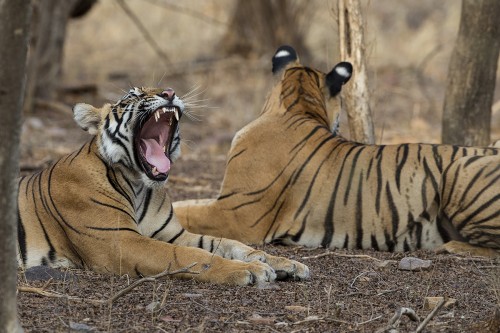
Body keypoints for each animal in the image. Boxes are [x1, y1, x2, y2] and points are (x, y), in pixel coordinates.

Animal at [16, 84, 308, 284]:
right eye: (133, 95)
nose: (169, 92)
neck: (138, 184)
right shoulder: (120, 241)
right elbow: (189, 256)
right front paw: (250, 270)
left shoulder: (174, 233)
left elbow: (228, 244)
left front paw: (283, 262)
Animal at [175, 44, 500, 256]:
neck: (296, 107)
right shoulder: (223, 201)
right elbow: (186, 203)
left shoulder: (235, 214)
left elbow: (187, 214)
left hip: (461, 171)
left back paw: (451, 247)